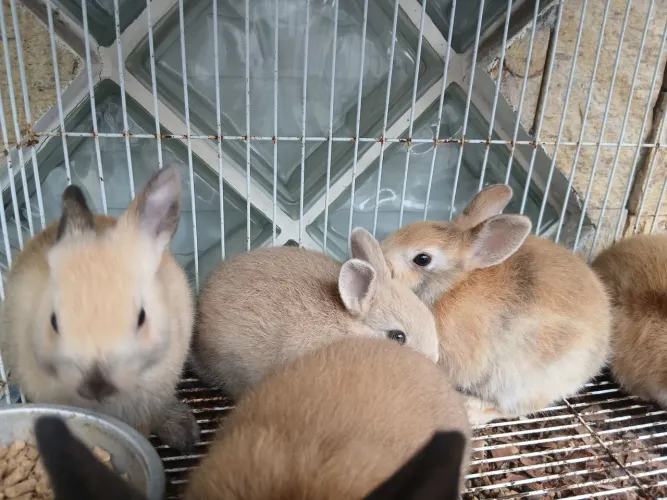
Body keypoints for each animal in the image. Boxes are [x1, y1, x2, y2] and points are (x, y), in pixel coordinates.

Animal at [380, 184, 612, 425]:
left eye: (422, 259)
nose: (381, 253)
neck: (450, 286)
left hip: (519, 381)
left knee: (511, 408)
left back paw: (471, 409)